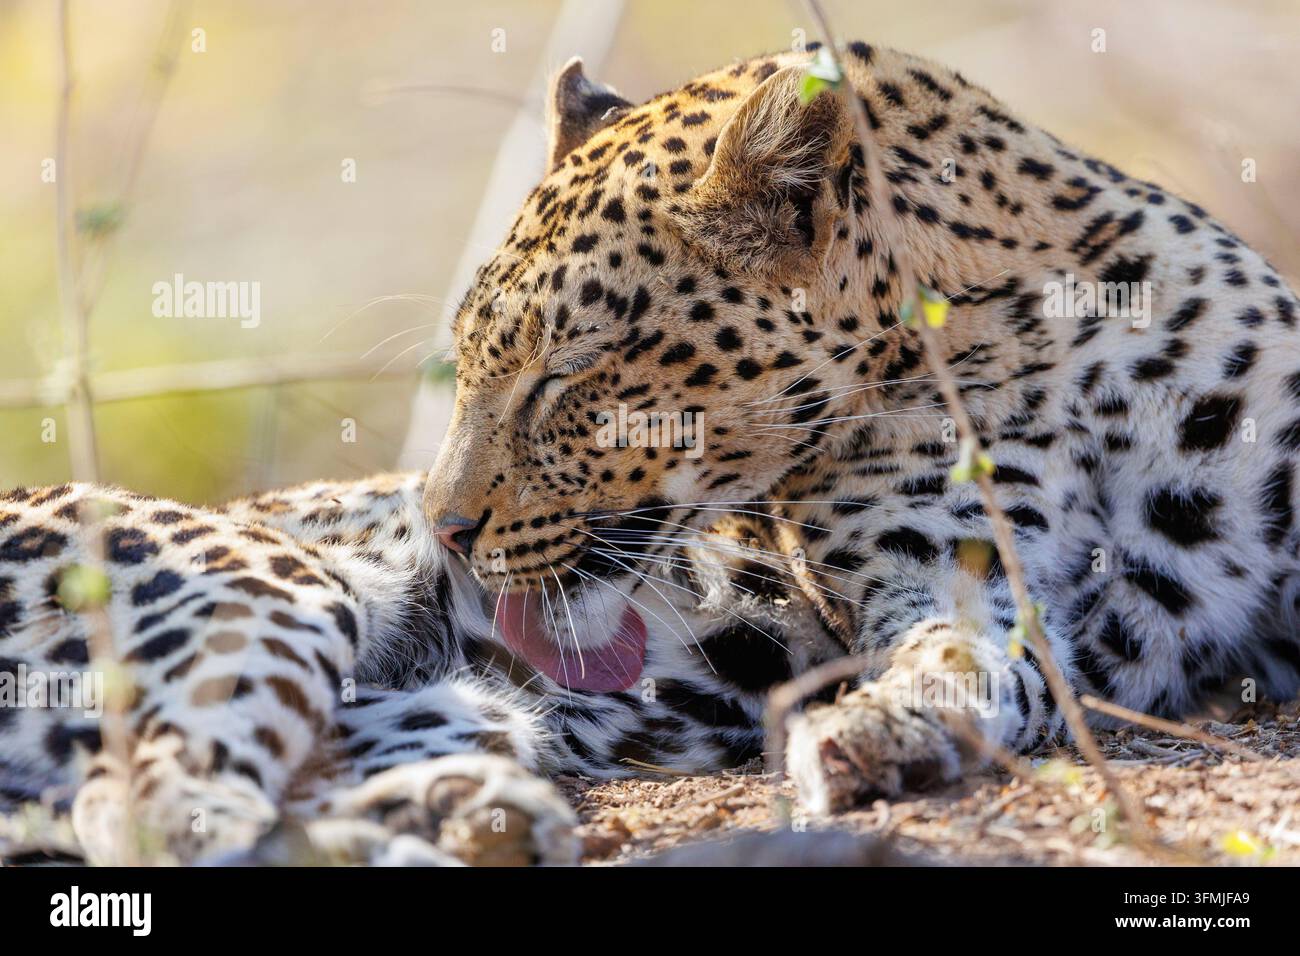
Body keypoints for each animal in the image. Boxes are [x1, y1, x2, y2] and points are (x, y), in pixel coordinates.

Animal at [4, 40, 1299, 863]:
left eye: (563, 375)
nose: (442, 529)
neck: (1037, 336)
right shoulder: (944, 573)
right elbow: (963, 653)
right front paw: (882, 723)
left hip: (452, 707)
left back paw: (473, 815)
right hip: (255, 584)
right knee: (147, 805)